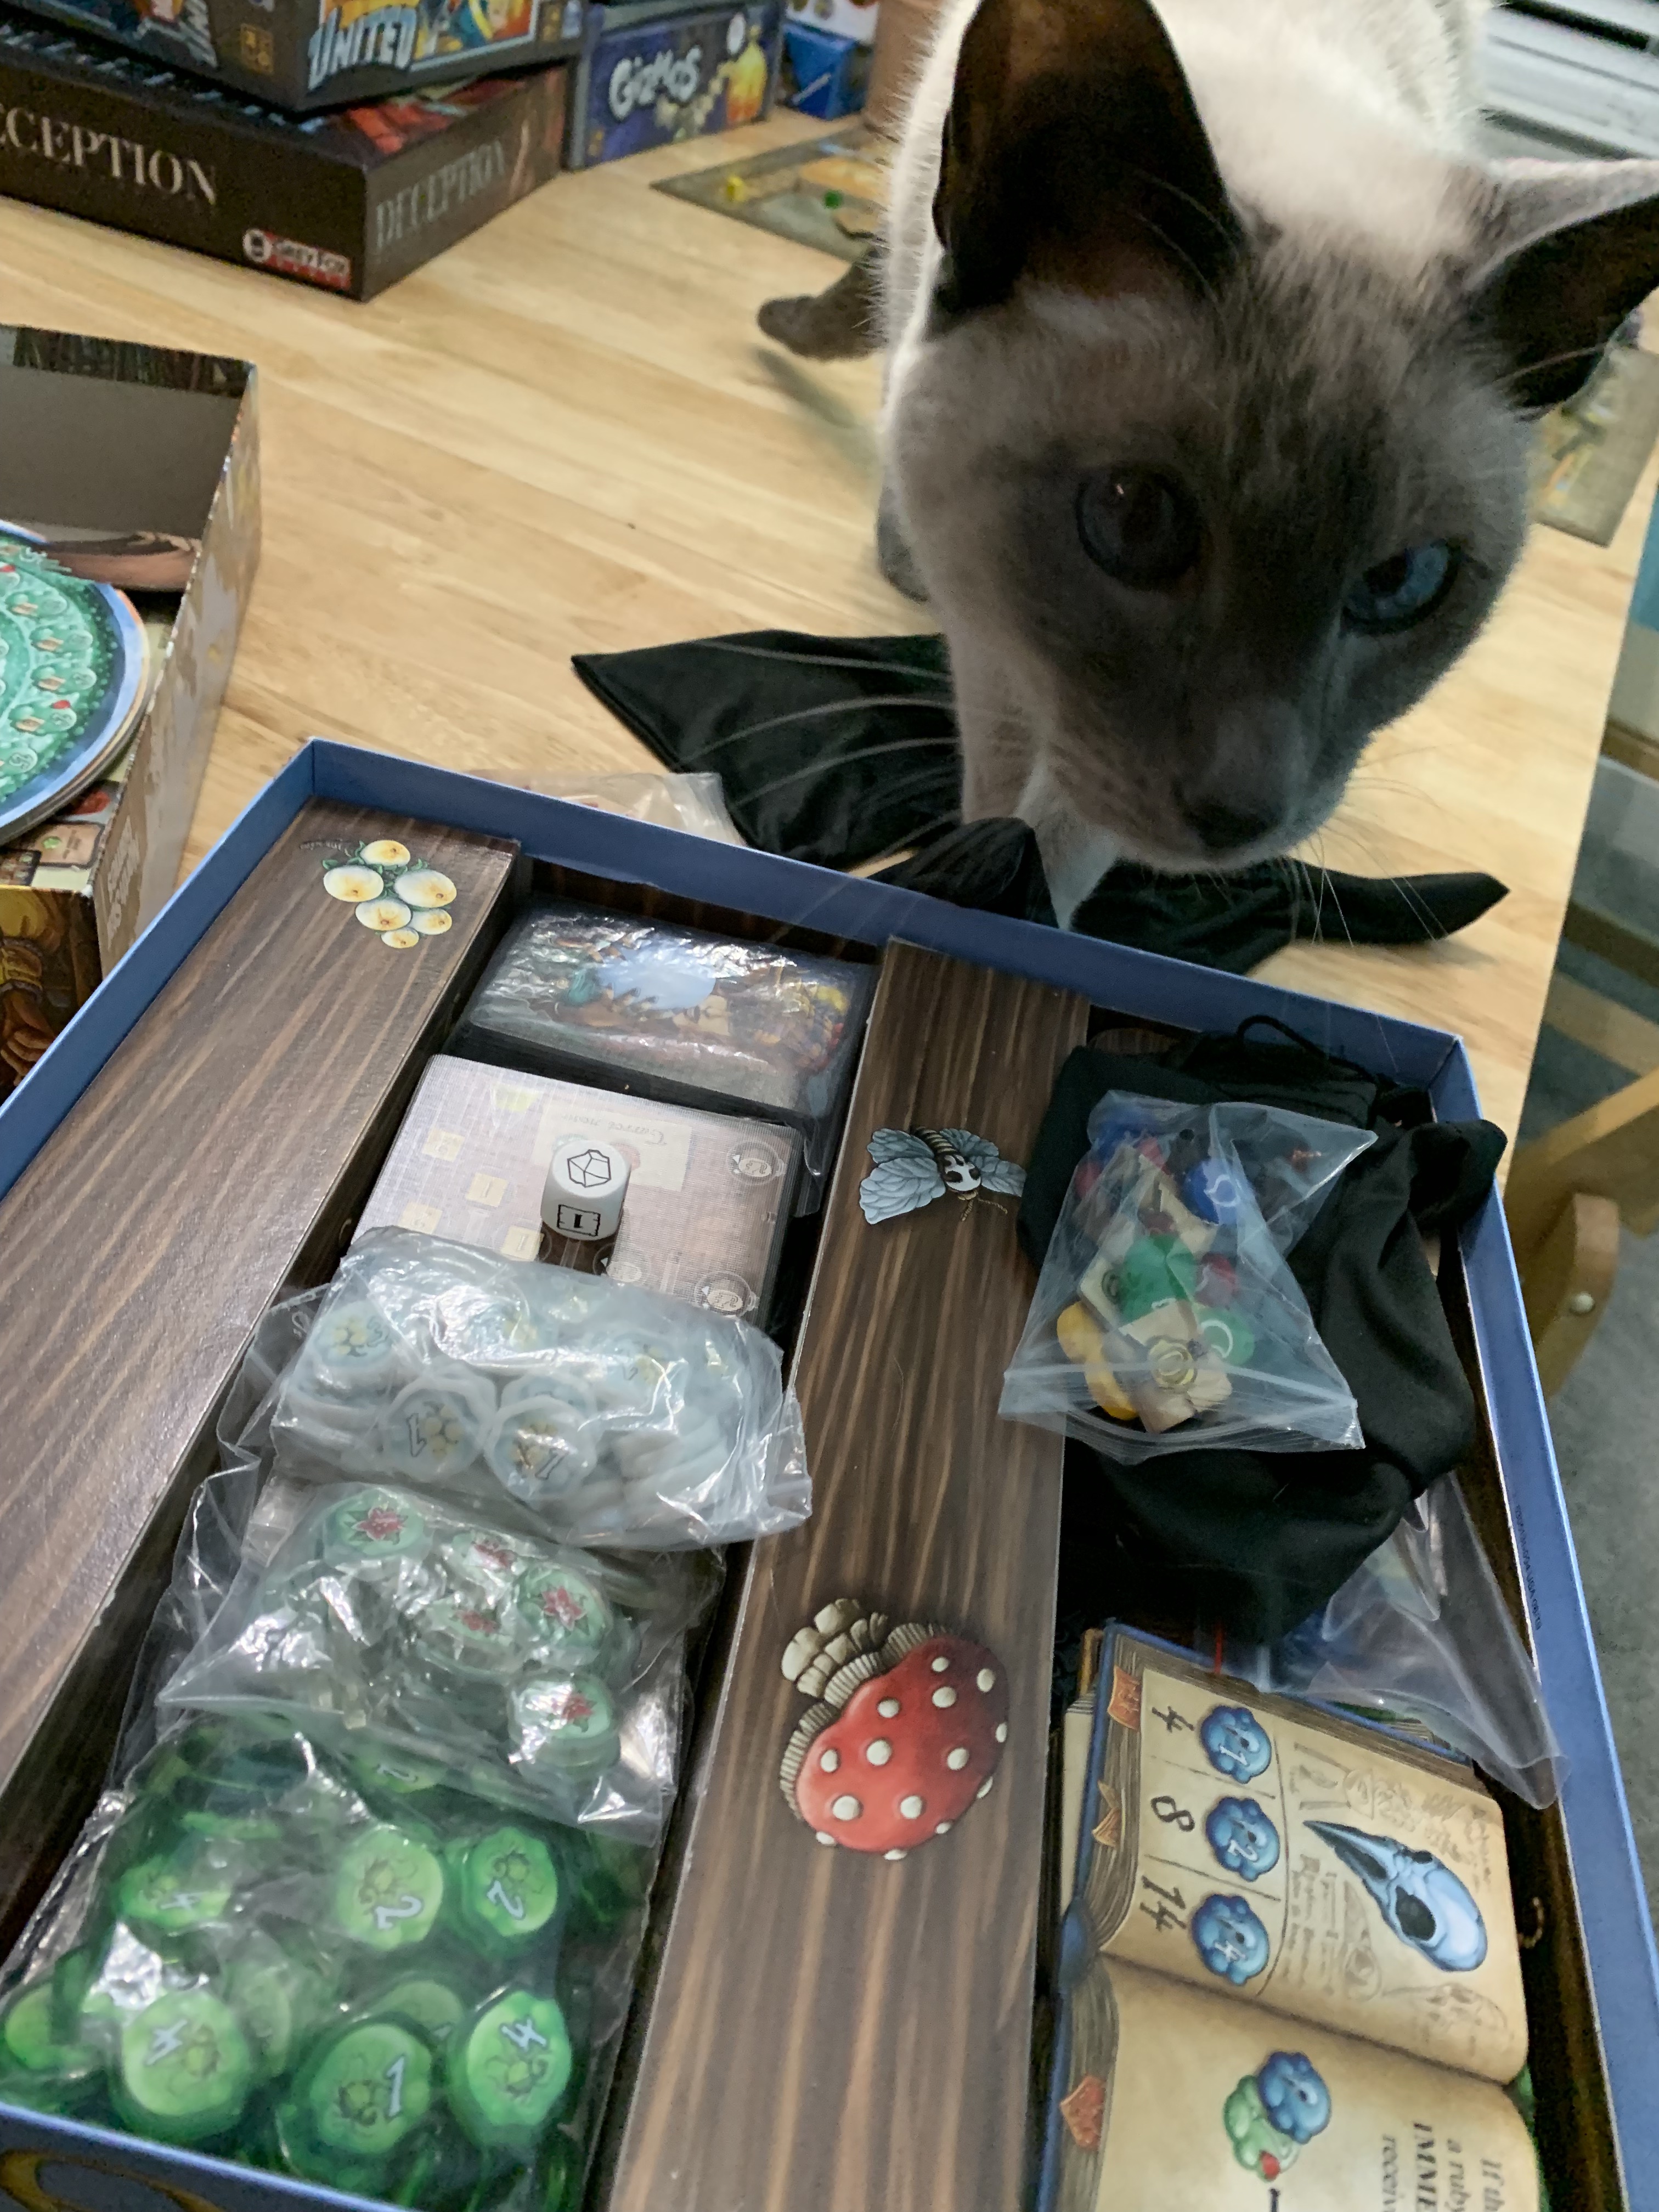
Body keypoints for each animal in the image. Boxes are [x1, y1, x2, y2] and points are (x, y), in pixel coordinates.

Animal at [761, 0, 1659, 921]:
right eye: (1134, 520)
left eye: (1400, 584)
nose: (1240, 817)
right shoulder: (997, 636)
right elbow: (1007, 774)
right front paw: (979, 880)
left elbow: (1063, 832)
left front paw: (1021, 903)